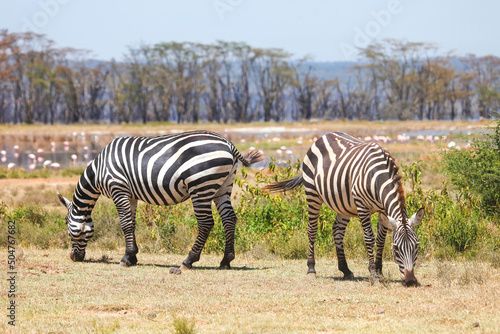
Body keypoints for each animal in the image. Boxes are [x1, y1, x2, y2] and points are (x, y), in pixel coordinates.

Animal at [57, 130, 264, 272]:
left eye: (66, 223)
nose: (74, 257)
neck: (99, 171)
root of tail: (228, 143)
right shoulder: (130, 195)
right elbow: (132, 224)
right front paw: (133, 256)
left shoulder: (118, 188)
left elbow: (125, 224)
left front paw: (126, 258)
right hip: (223, 187)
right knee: (229, 219)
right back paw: (226, 260)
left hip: (201, 185)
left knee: (206, 223)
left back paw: (189, 260)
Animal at [264, 132, 424, 286]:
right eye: (396, 249)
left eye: (416, 246)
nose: (410, 281)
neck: (377, 175)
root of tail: (323, 136)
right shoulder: (362, 206)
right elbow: (369, 238)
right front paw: (373, 275)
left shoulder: (383, 210)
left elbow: (380, 239)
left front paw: (379, 272)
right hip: (312, 193)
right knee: (312, 230)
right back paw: (311, 269)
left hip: (344, 204)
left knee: (337, 230)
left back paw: (345, 269)